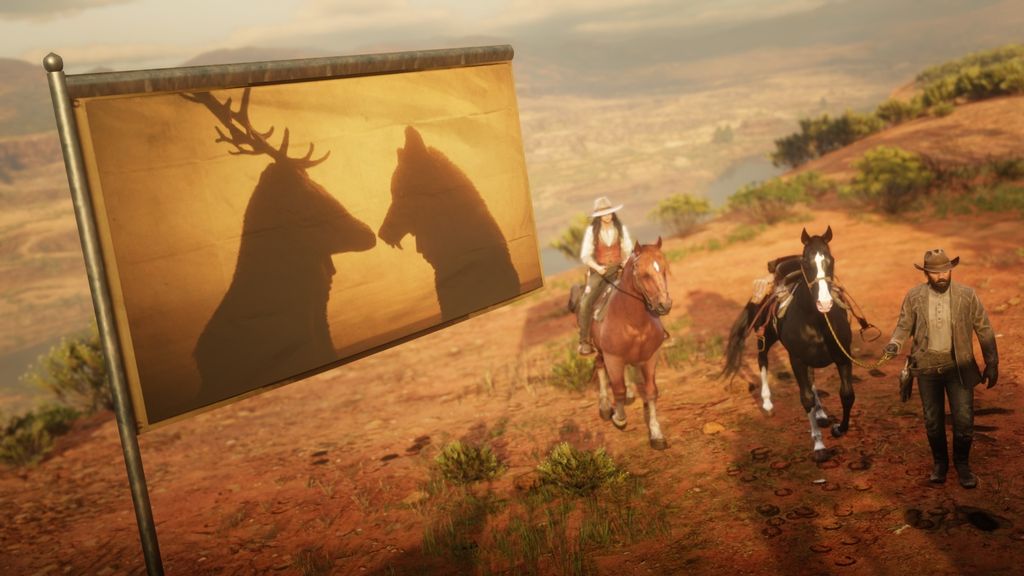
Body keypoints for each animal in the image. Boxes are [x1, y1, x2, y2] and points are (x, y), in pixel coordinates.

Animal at [589, 238, 673, 450]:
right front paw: (619, 419)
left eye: (664, 270)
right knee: (599, 366)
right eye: (644, 275)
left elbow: (651, 392)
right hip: (600, 351)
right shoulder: (613, 358)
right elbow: (617, 390)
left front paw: (656, 434)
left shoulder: (650, 358)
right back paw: (604, 407)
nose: (665, 305)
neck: (633, 322)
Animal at [721, 226, 854, 462]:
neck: (817, 321)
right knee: (762, 359)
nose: (825, 302)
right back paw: (767, 403)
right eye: (806, 263)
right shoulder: (797, 359)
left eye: (831, 260)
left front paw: (839, 428)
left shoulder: (842, 356)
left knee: (811, 380)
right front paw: (819, 446)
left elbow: (847, 394)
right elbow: (806, 399)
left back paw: (821, 414)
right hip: (765, 337)